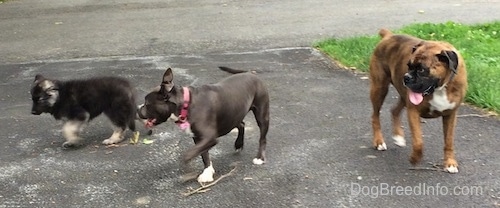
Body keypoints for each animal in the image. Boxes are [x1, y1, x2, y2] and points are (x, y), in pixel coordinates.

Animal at [137, 66, 270, 184]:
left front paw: (189, 172)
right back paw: (238, 144)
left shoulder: (209, 138)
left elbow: (187, 155)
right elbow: (204, 155)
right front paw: (208, 172)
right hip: (234, 113)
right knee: (241, 124)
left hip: (262, 114)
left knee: (262, 137)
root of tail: (250, 73)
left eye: (147, 104)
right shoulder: (198, 138)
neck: (186, 104)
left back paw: (260, 158)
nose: (137, 109)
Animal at [370, 28, 466, 173]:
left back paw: (398, 137)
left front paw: (450, 163)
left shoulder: (450, 115)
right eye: (408, 65)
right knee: (375, 116)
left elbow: (449, 141)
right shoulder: (413, 111)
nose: (406, 77)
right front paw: (415, 159)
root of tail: (389, 36)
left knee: (394, 110)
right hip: (379, 89)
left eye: (421, 69)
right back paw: (379, 141)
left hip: (403, 95)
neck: (440, 88)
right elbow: (418, 141)